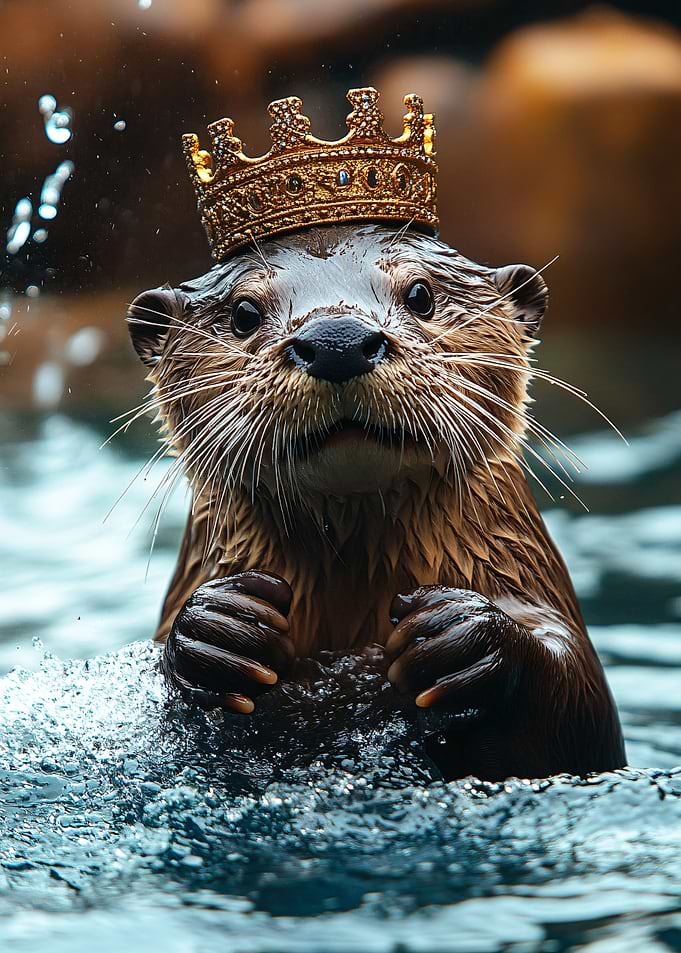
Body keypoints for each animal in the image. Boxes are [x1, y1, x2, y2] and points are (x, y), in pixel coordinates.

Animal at [126, 223, 625, 782]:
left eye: (421, 294)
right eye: (244, 313)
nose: (336, 341)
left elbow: (578, 707)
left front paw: (464, 634)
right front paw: (216, 630)